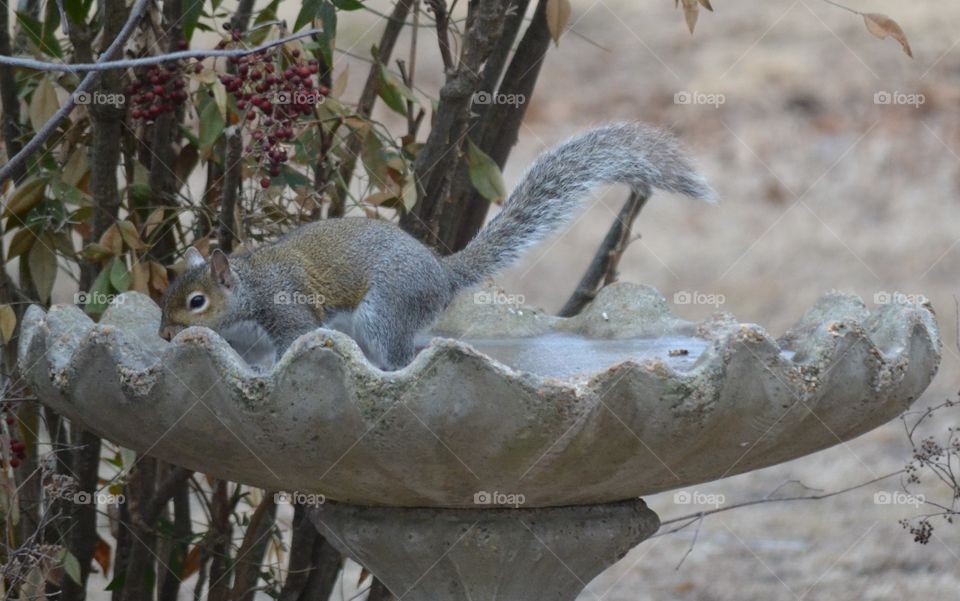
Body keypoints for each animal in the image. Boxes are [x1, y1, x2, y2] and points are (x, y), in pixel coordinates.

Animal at [158, 122, 716, 370]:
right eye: (166, 295)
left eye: (196, 302)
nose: (164, 335)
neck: (250, 284)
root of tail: (440, 275)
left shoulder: (287, 307)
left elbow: (294, 340)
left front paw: (266, 370)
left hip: (383, 311)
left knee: (399, 356)